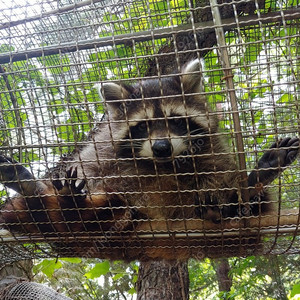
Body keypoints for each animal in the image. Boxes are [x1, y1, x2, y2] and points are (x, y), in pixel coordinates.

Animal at [0, 60, 298, 239]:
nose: (162, 147)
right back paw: (51, 194)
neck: (161, 164)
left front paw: (236, 191)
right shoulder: (104, 146)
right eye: (143, 126)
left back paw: (253, 184)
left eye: (175, 121)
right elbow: (90, 166)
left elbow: (219, 172)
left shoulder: (211, 147)